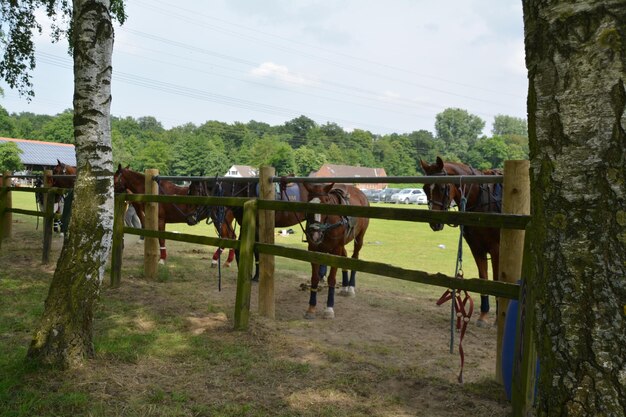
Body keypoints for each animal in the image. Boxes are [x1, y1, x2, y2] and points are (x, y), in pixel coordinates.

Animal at [302, 182, 368, 318]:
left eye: (326, 202)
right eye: (308, 202)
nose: (315, 234)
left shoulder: (335, 250)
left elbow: (331, 279)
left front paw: (329, 308)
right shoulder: (314, 250)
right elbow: (314, 278)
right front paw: (311, 308)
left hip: (359, 237)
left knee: (354, 257)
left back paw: (350, 288)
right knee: (345, 256)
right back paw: (344, 287)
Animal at [420, 156, 502, 324]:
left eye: (442, 187)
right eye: (425, 188)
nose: (434, 223)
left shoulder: (497, 249)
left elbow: (496, 281)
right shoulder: (477, 248)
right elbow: (483, 278)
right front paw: (483, 315)